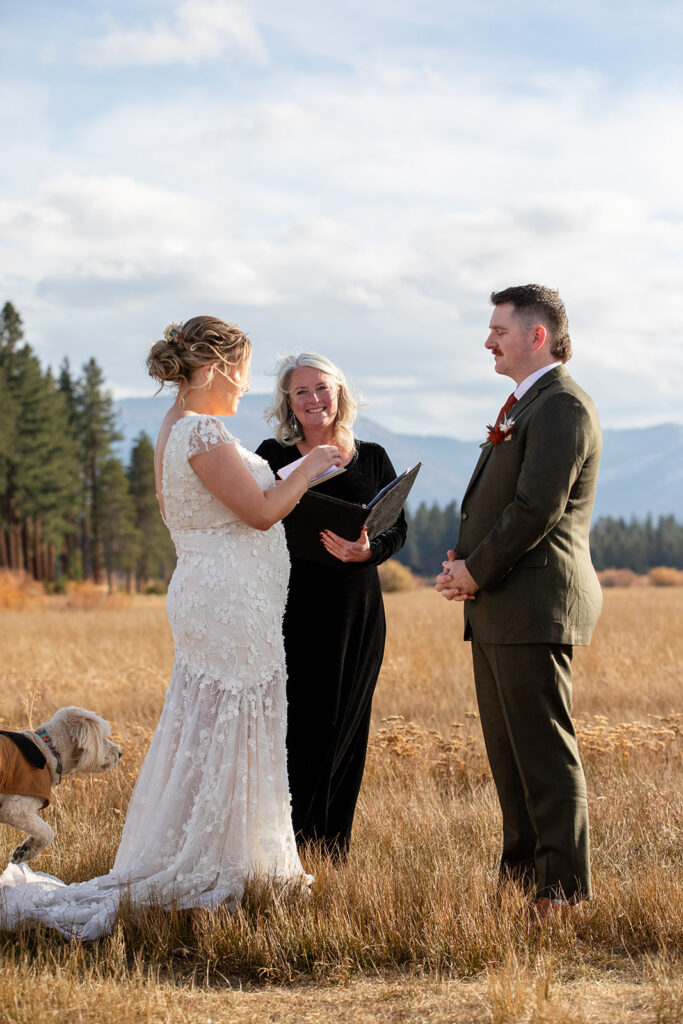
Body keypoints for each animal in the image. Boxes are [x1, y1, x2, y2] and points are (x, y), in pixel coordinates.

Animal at [0, 712, 121, 864]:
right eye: (103, 738)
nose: (120, 753)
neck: (48, 750)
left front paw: (25, 848)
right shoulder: (15, 810)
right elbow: (47, 832)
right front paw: (27, 851)